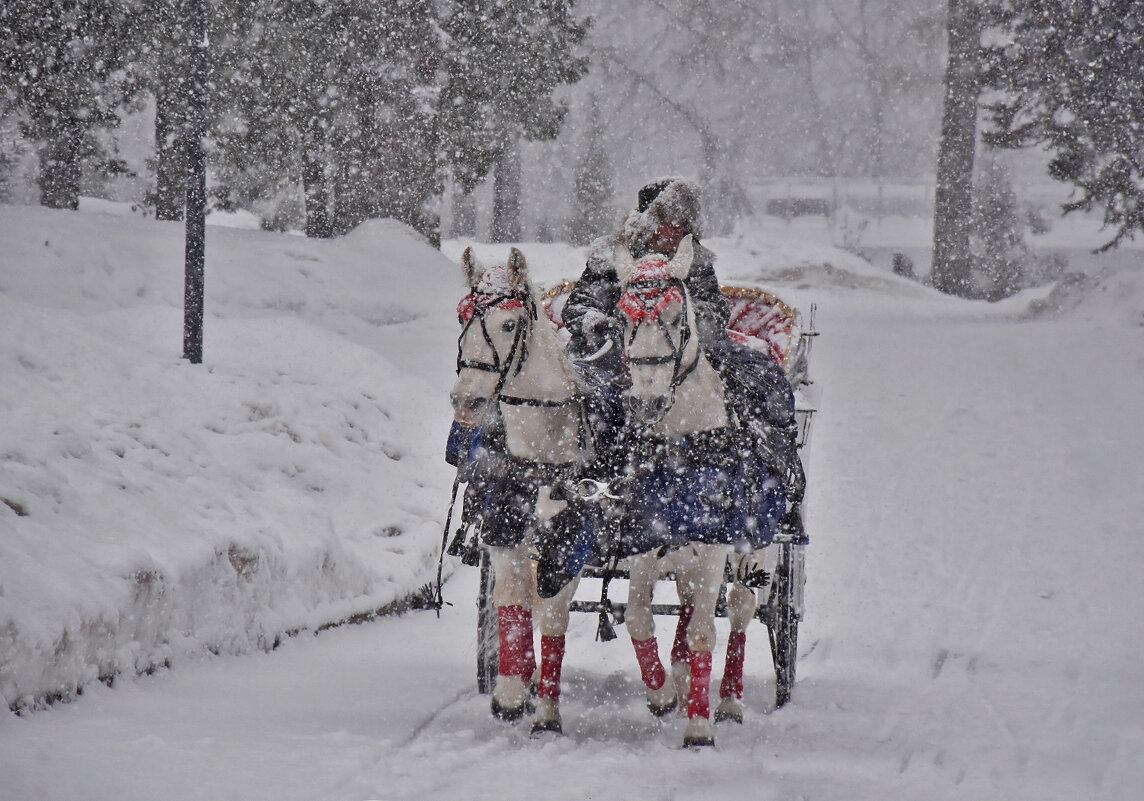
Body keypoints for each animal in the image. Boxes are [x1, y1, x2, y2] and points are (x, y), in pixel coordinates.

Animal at [448, 247, 590, 736]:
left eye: (509, 325)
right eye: (462, 317)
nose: (466, 402)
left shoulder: (569, 542)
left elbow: (553, 615)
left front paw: (546, 712)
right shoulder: (504, 528)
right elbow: (513, 603)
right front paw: (511, 691)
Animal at [613, 234, 773, 746]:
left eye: (674, 315)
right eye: (622, 316)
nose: (646, 402)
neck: (681, 443)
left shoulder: (715, 544)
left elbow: (706, 631)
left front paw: (699, 726)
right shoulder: (647, 539)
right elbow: (637, 617)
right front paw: (663, 692)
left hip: (753, 548)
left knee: (740, 608)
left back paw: (726, 700)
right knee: (685, 602)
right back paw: (682, 680)